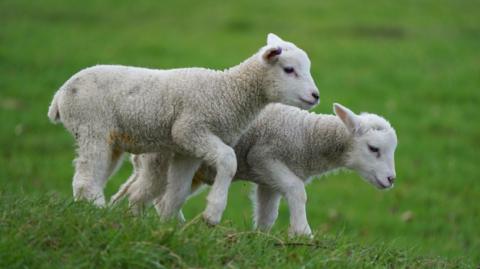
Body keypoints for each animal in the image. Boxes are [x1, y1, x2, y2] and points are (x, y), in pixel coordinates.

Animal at [47, 32, 318, 223]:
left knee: (95, 176)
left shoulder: (186, 148)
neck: (228, 92)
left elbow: (177, 190)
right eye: (289, 70)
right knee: (85, 179)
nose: (315, 96)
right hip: (92, 125)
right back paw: (99, 212)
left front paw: (167, 226)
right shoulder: (191, 128)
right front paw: (213, 213)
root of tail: (59, 95)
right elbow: (228, 160)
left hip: (108, 140)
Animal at [111, 102, 398, 234]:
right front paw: (304, 233)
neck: (307, 136)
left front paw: (263, 236)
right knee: (141, 193)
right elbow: (297, 191)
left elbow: (268, 213)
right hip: (158, 161)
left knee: (157, 196)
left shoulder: (268, 180)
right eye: (374, 149)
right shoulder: (264, 156)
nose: (391, 180)